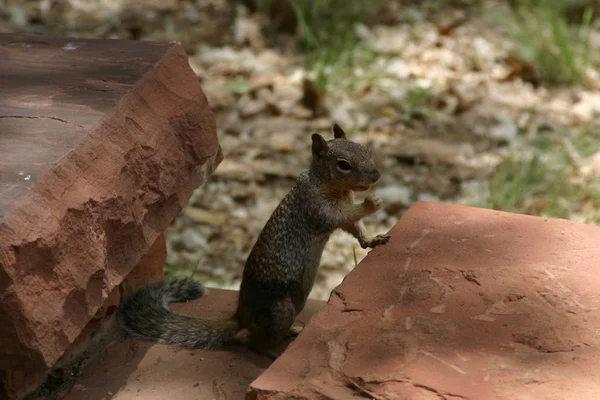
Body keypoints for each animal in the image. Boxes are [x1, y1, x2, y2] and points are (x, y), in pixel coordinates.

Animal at [118, 122, 392, 356]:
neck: (332, 187)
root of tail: (242, 315)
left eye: (367, 150)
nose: (376, 176)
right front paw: (371, 203)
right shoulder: (317, 207)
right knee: (254, 342)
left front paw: (373, 239)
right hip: (280, 311)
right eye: (343, 165)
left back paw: (293, 330)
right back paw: (272, 350)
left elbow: (354, 227)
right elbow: (342, 217)